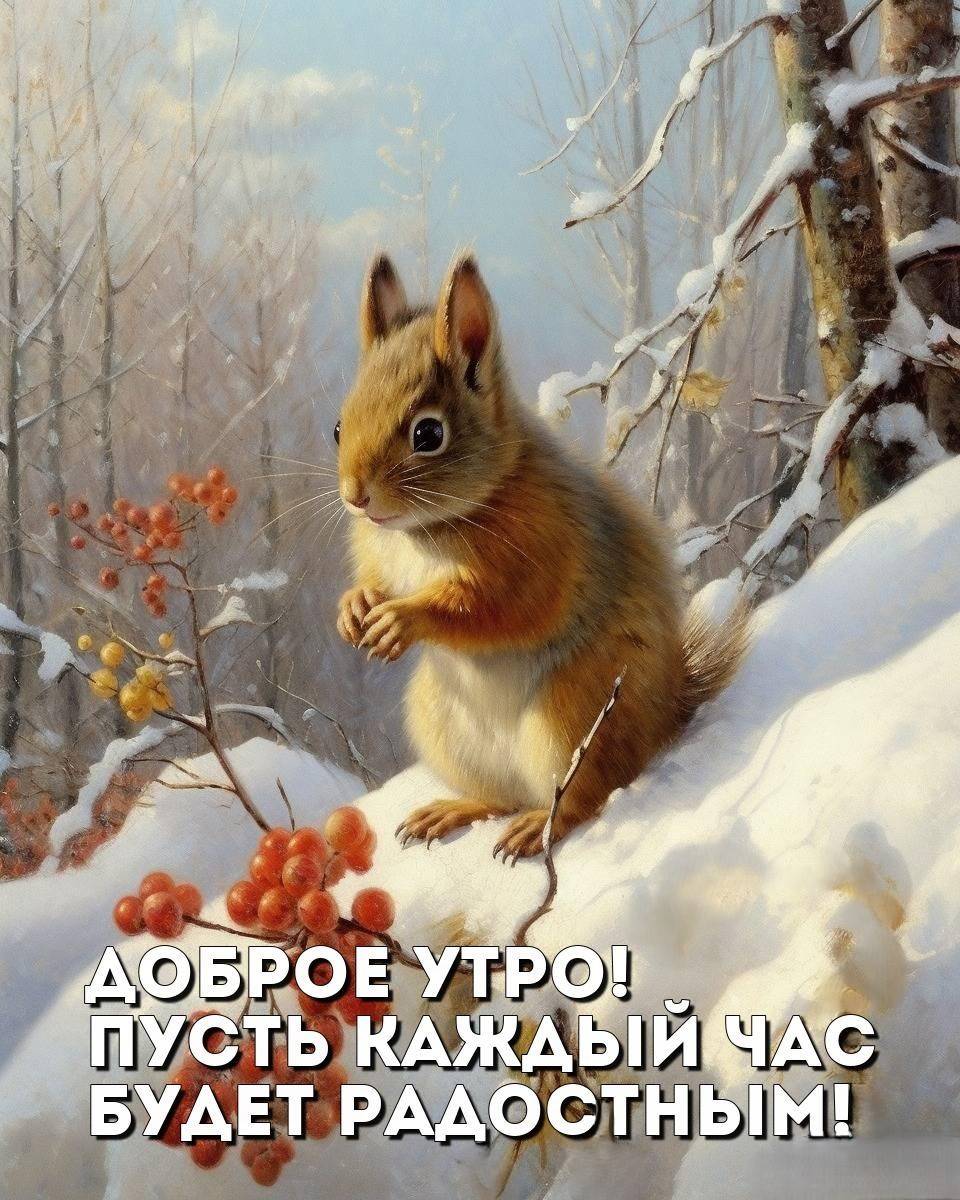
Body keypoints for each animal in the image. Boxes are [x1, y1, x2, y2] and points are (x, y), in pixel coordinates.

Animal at [334, 251, 747, 859]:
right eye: (338, 425)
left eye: (428, 434)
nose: (355, 497)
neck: (424, 529)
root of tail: (661, 723)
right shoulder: (378, 552)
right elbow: (373, 581)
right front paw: (355, 607)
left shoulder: (542, 550)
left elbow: (498, 608)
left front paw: (401, 619)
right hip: (443, 726)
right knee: (500, 797)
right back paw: (452, 810)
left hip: (571, 720)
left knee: (583, 799)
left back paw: (538, 828)